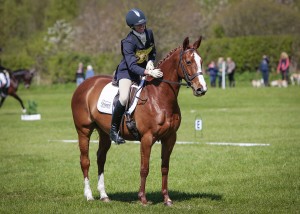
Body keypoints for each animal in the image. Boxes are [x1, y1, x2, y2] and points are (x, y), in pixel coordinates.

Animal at [71, 36, 206, 206]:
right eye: (188, 62)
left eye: (201, 61)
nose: (201, 89)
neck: (159, 96)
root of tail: (84, 84)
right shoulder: (147, 138)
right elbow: (144, 168)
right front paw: (142, 198)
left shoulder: (170, 138)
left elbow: (165, 167)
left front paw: (167, 199)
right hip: (84, 130)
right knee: (85, 161)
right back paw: (89, 195)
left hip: (104, 132)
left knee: (101, 159)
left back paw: (104, 195)